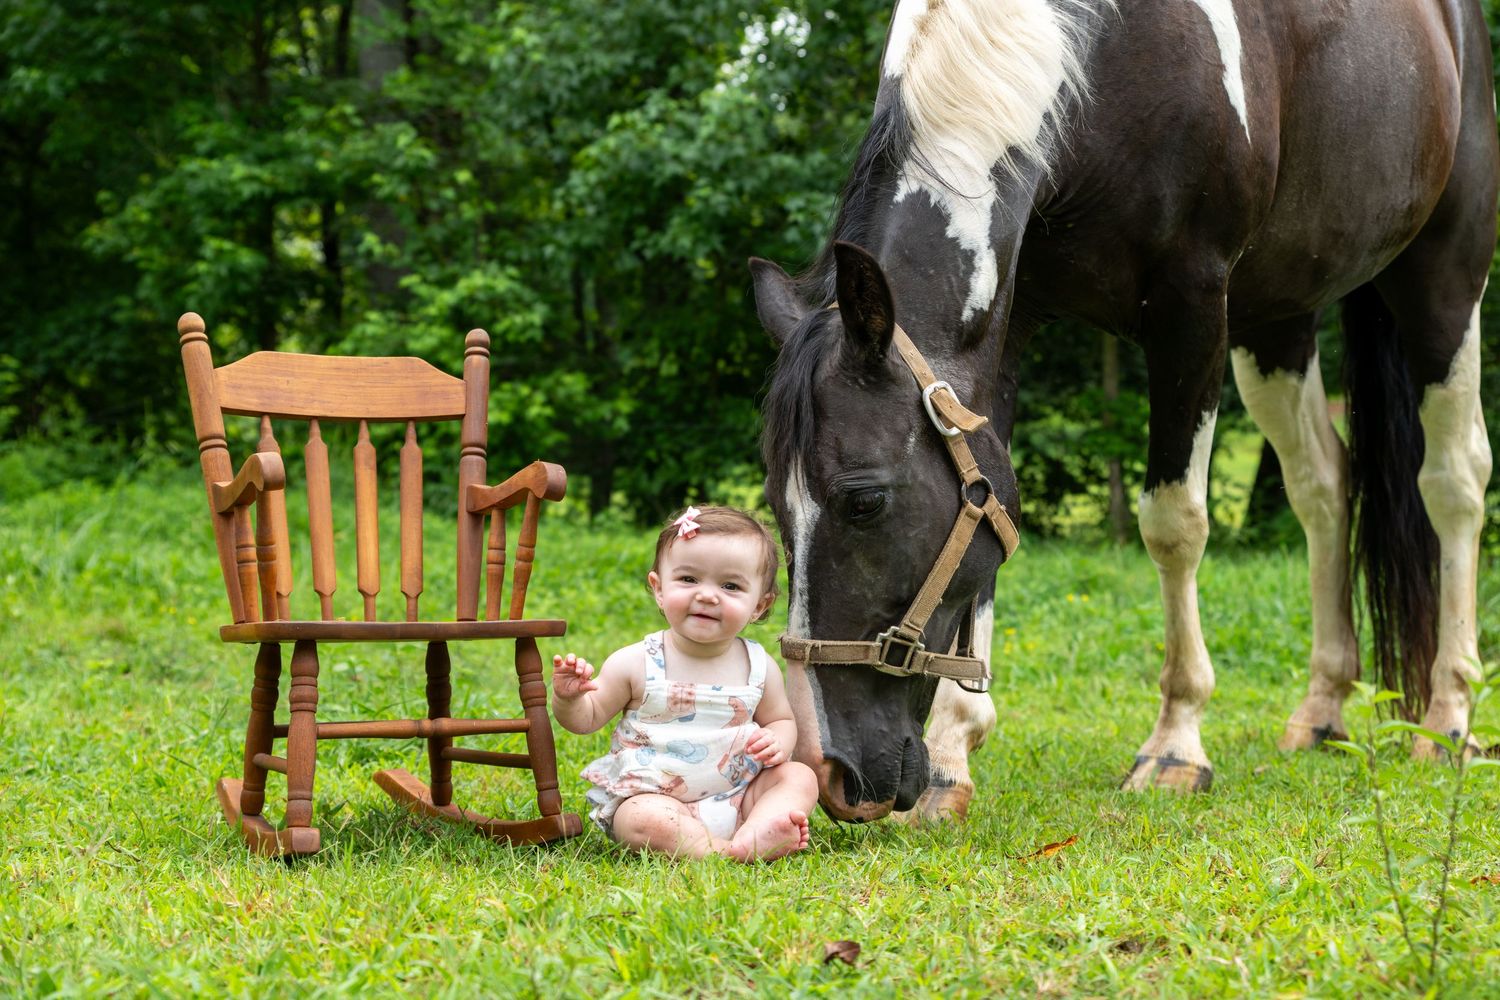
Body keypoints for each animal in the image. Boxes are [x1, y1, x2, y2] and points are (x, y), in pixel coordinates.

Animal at [750, 0, 1497, 822]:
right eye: (777, 508)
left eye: (864, 502)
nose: (837, 775)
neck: (1097, 64)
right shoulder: (1010, 322)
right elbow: (991, 513)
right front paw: (951, 755)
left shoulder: (1191, 309)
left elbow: (1174, 525)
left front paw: (1175, 746)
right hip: (1278, 318)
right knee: (1323, 485)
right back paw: (1322, 709)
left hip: (1444, 279)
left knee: (1454, 481)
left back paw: (1449, 717)